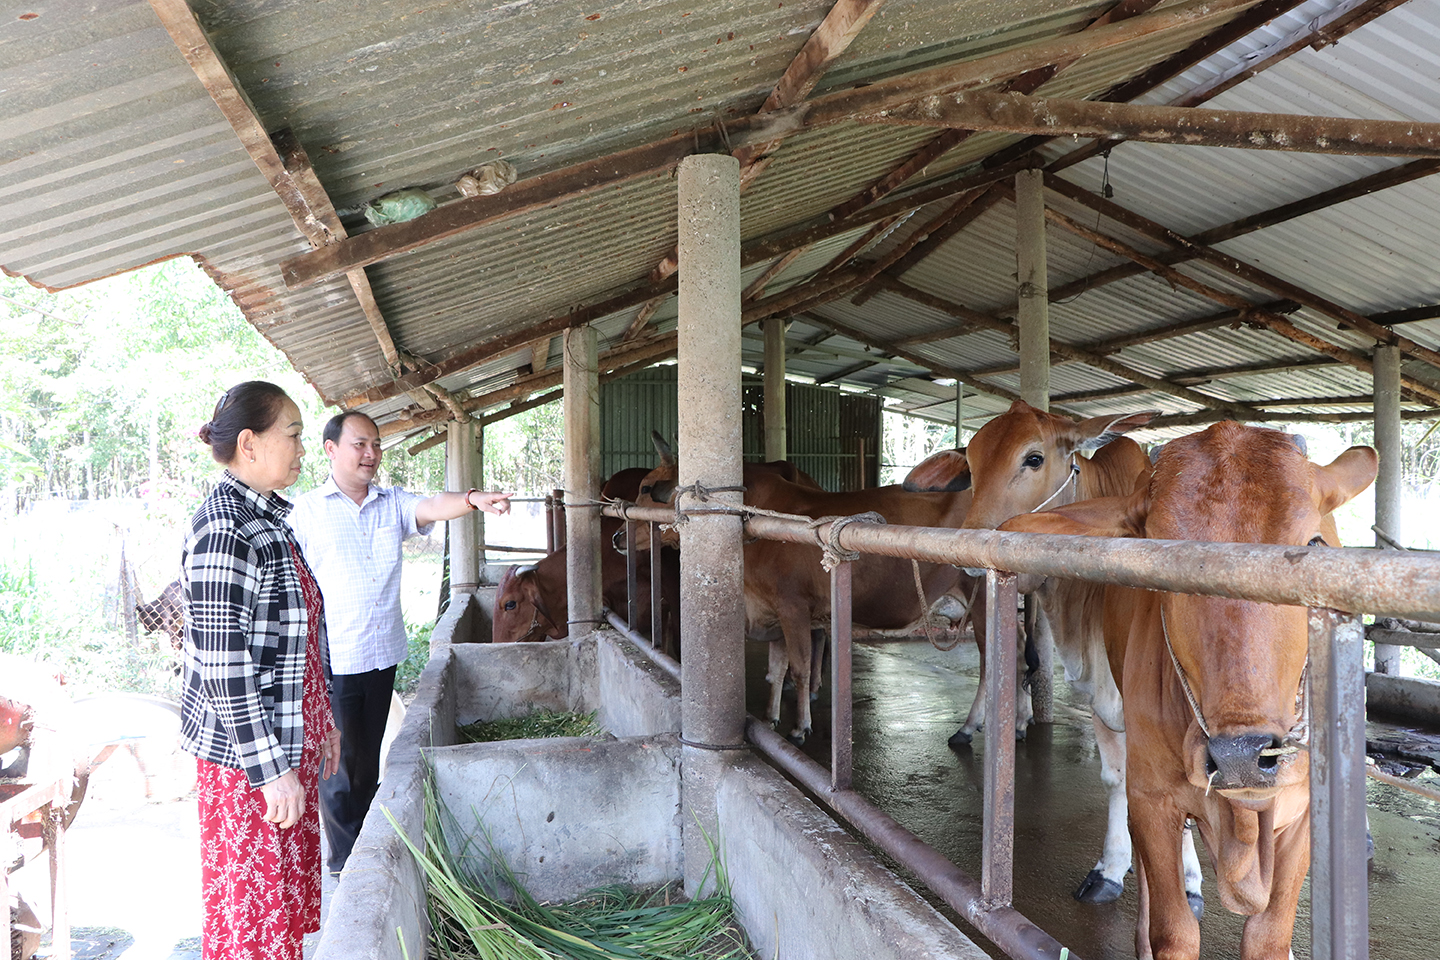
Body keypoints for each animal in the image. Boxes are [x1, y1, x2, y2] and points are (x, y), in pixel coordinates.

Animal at [1008, 428, 1376, 960]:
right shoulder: (1151, 800)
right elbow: (1173, 931)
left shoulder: (1305, 811)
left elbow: (1268, 937)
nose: (1241, 755)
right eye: (1159, 556)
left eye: (1313, 543)